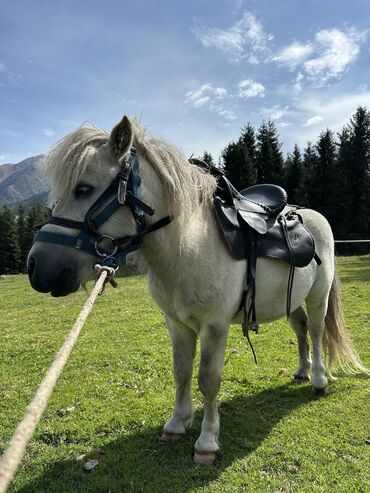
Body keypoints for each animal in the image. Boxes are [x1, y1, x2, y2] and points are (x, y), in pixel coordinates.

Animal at [28, 117, 368, 464]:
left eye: (83, 188)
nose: (36, 266)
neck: (188, 247)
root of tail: (312, 217)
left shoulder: (214, 327)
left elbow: (208, 380)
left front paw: (207, 441)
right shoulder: (177, 324)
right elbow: (181, 372)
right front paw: (177, 424)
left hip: (318, 297)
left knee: (315, 332)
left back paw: (318, 380)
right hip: (291, 300)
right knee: (300, 329)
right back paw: (301, 372)